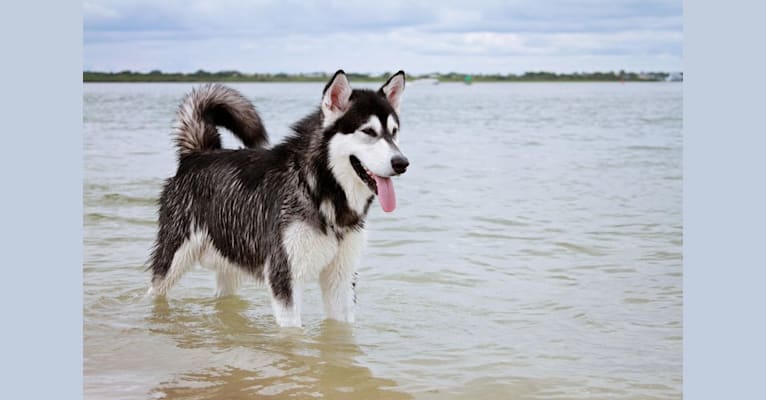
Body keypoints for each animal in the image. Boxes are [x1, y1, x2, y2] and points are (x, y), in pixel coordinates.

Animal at [148, 70, 408, 326]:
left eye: (394, 132)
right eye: (368, 132)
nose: (402, 163)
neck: (317, 187)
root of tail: (197, 154)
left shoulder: (340, 279)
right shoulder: (284, 276)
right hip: (173, 260)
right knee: (155, 290)